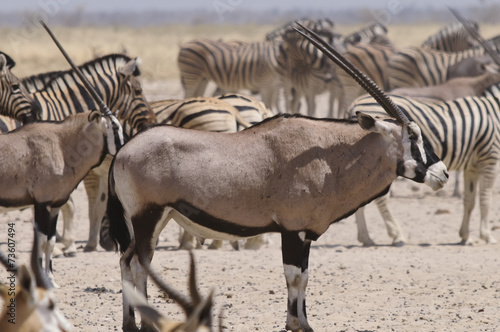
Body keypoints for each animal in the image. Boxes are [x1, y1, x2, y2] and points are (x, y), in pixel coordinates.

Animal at [106, 24, 450, 332]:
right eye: (413, 136)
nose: (443, 173)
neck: (330, 154)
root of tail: (124, 151)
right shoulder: (292, 230)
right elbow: (293, 275)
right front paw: (298, 324)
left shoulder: (306, 233)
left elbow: (304, 277)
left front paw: (301, 323)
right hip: (148, 216)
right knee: (138, 264)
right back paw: (147, 325)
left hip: (155, 218)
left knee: (126, 261)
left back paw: (130, 324)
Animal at [350, 84, 500, 246]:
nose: (445, 173)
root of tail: (354, 104)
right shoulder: (490, 160)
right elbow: (485, 200)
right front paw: (487, 236)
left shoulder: (472, 167)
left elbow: (469, 201)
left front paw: (465, 235)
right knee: (381, 199)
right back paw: (397, 235)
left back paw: (366, 238)